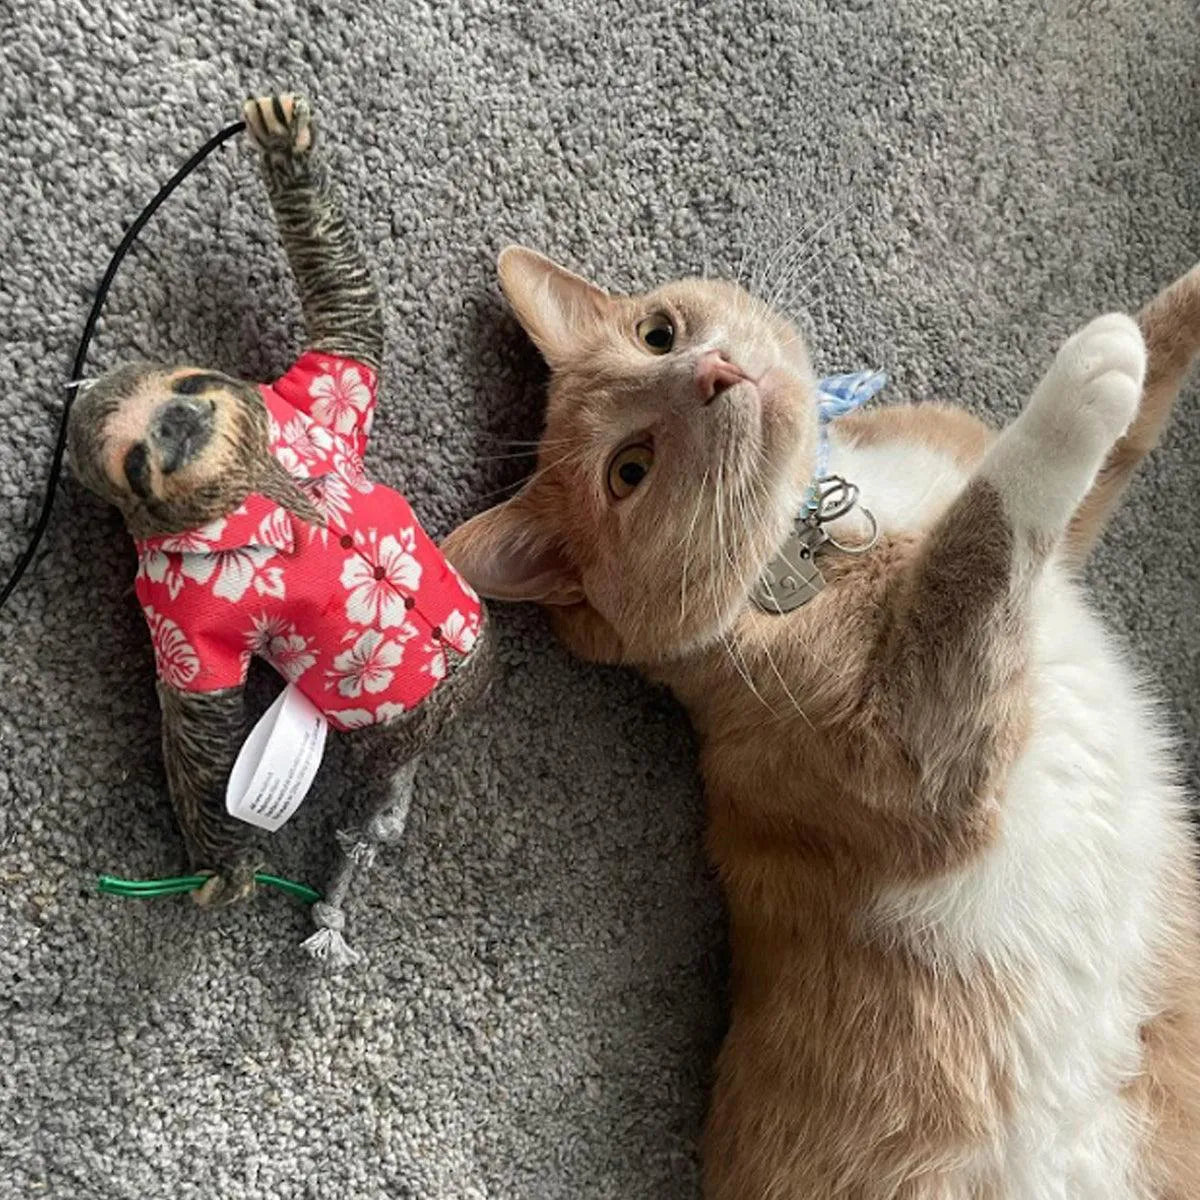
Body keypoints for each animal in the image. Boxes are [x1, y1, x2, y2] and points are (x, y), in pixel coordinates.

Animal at [444, 248, 1200, 1195]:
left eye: (657, 333)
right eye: (630, 469)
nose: (714, 374)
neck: (822, 518)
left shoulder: (1051, 530)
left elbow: (1148, 375)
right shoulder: (924, 749)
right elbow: (984, 539)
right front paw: (1083, 379)